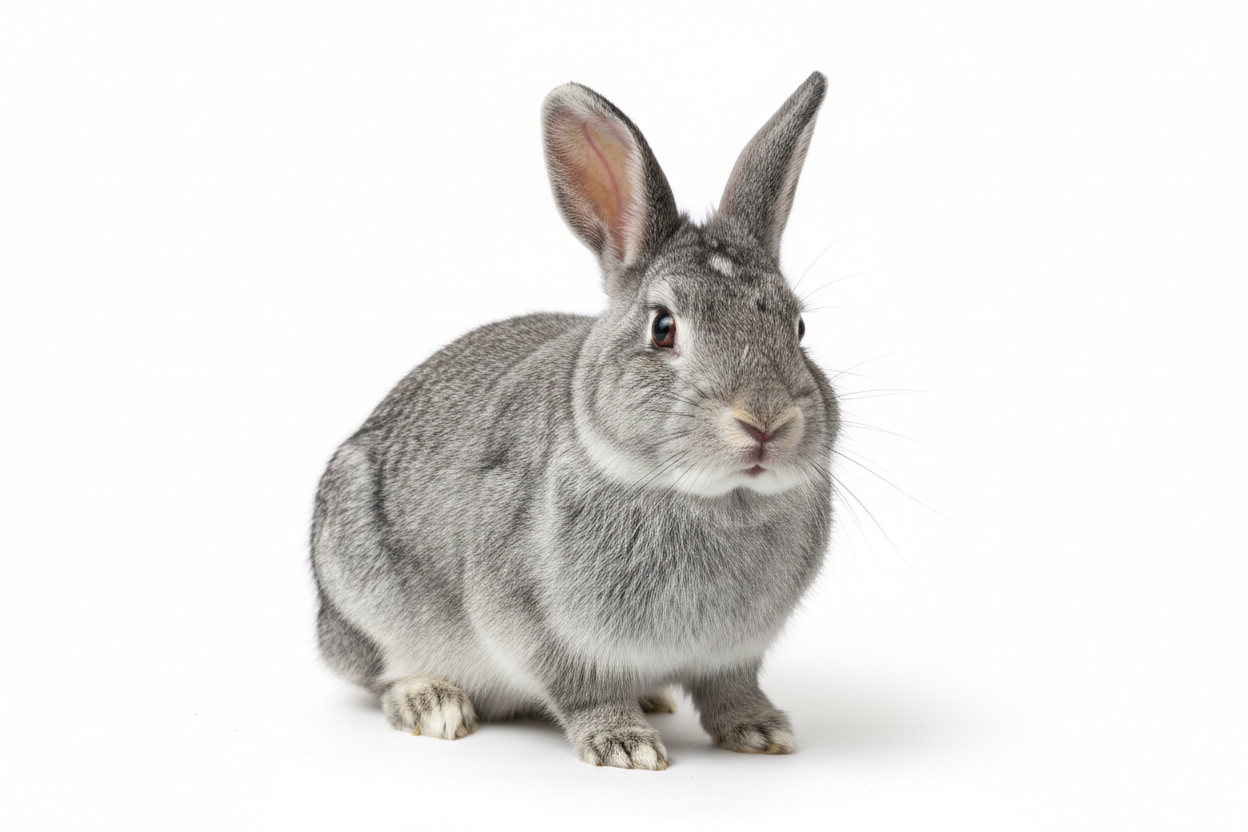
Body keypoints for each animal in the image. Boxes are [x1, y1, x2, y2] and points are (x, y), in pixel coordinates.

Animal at [311, 71, 839, 771]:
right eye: (663, 327)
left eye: (797, 327)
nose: (766, 423)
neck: (713, 499)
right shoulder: (545, 630)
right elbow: (583, 690)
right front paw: (624, 745)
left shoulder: (734, 654)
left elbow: (730, 688)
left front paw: (760, 730)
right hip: (362, 587)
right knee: (381, 671)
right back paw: (434, 704)